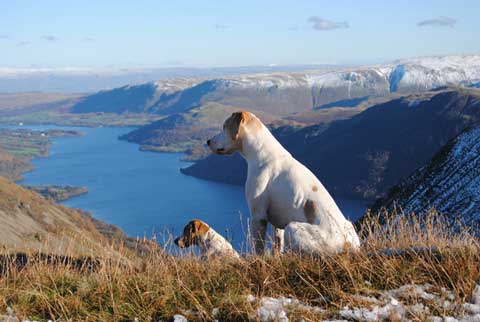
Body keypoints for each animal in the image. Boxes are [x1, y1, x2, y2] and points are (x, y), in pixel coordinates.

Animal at [206, 110, 360, 254]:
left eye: (224, 126)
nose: (208, 141)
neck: (263, 154)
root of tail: (347, 243)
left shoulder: (258, 216)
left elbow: (259, 249)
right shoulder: (277, 225)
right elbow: (276, 247)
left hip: (292, 228)